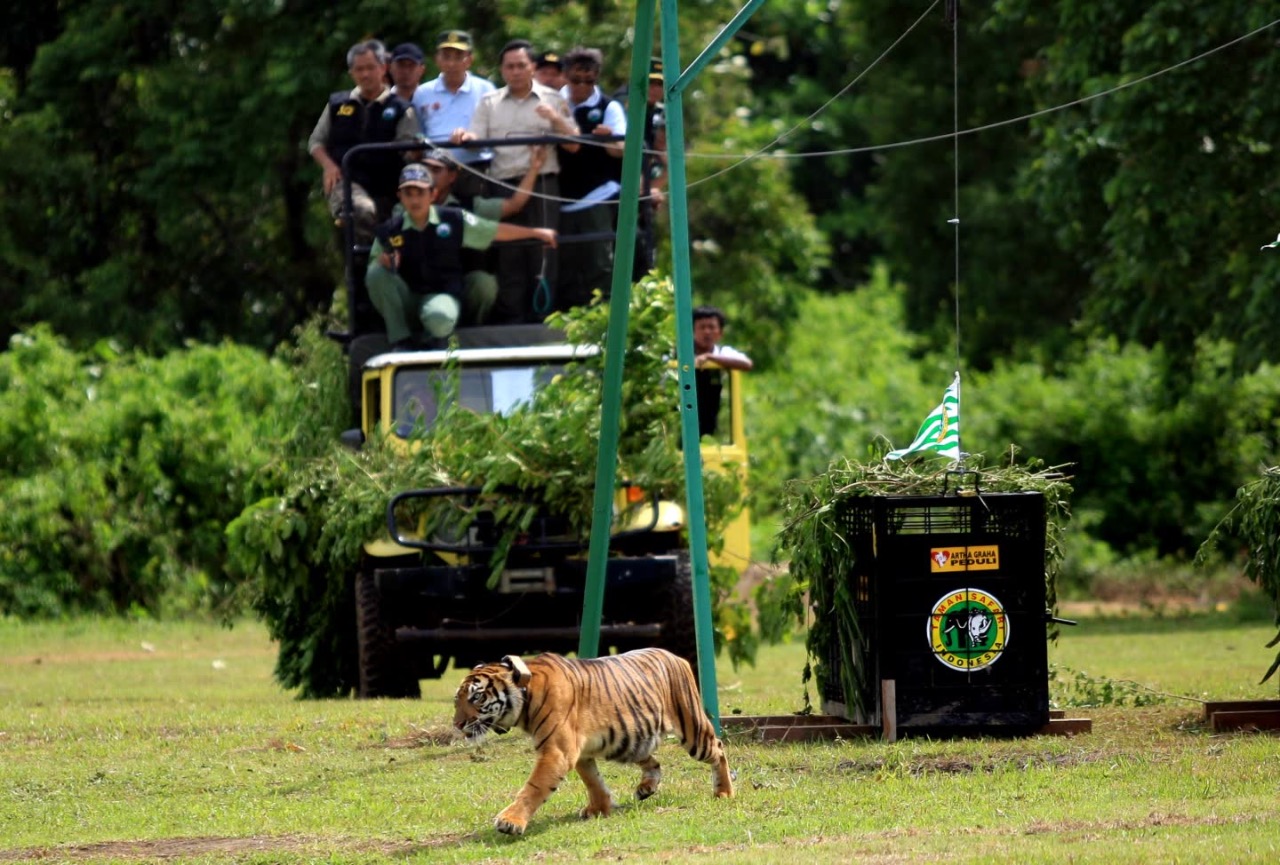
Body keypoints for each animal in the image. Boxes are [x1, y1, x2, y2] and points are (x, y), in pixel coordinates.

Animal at [452, 647, 734, 836]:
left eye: (477, 697)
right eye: (457, 700)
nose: (457, 725)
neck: (525, 695)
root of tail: (675, 656)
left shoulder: (557, 751)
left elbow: (534, 787)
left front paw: (510, 821)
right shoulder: (581, 752)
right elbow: (592, 781)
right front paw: (600, 808)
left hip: (692, 731)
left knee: (718, 749)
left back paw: (724, 791)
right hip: (628, 742)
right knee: (653, 762)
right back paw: (646, 788)